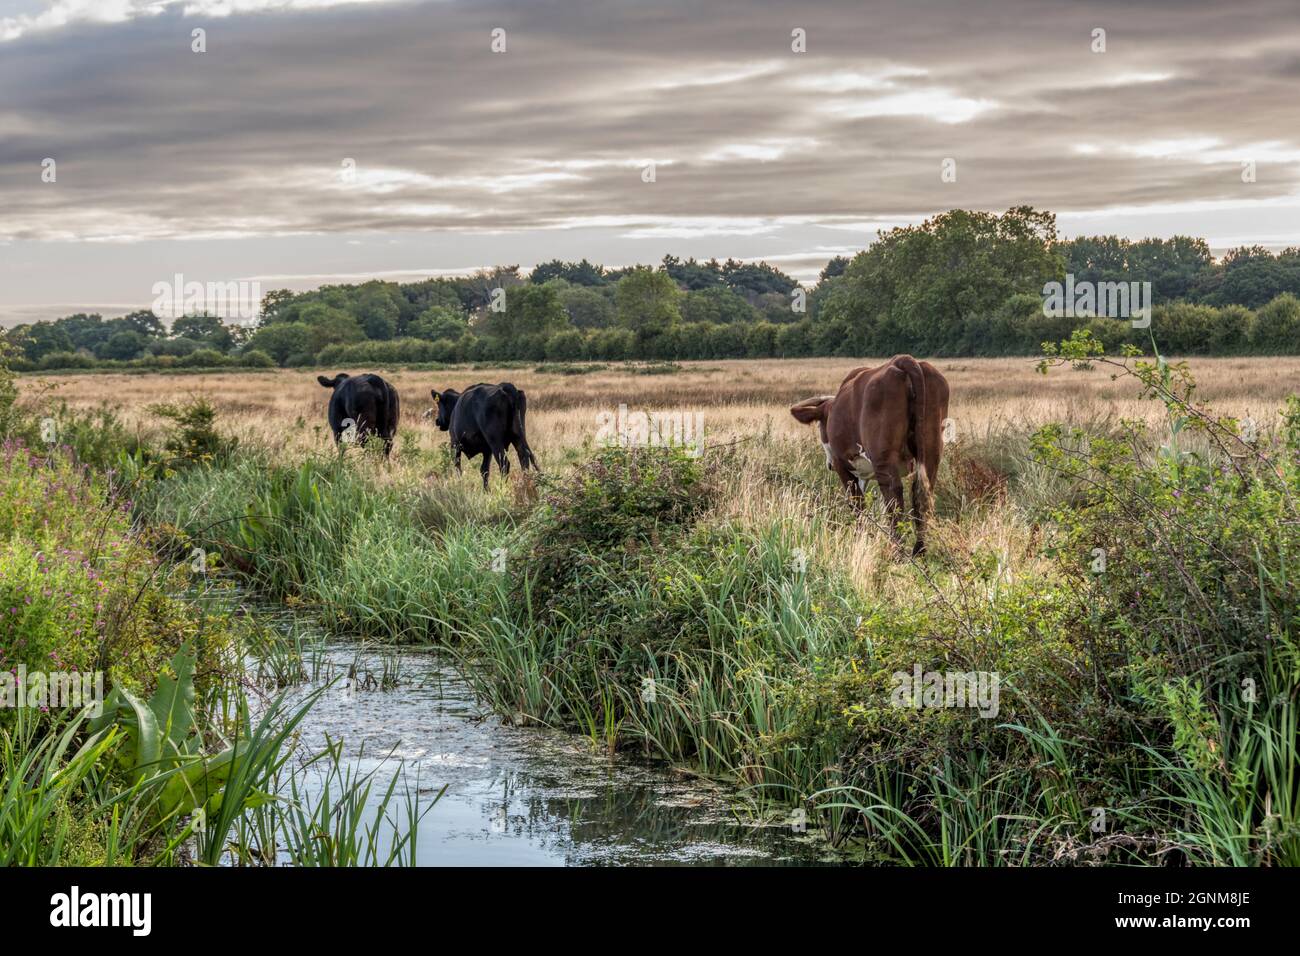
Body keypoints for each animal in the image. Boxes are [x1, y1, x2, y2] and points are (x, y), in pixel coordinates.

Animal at [785, 356, 951, 554]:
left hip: (883, 457)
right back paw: (919, 549)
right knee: (921, 494)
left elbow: (857, 504)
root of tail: (903, 360)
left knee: (894, 495)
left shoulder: (843, 465)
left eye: (821, 425)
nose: (829, 465)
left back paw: (896, 549)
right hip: (931, 450)